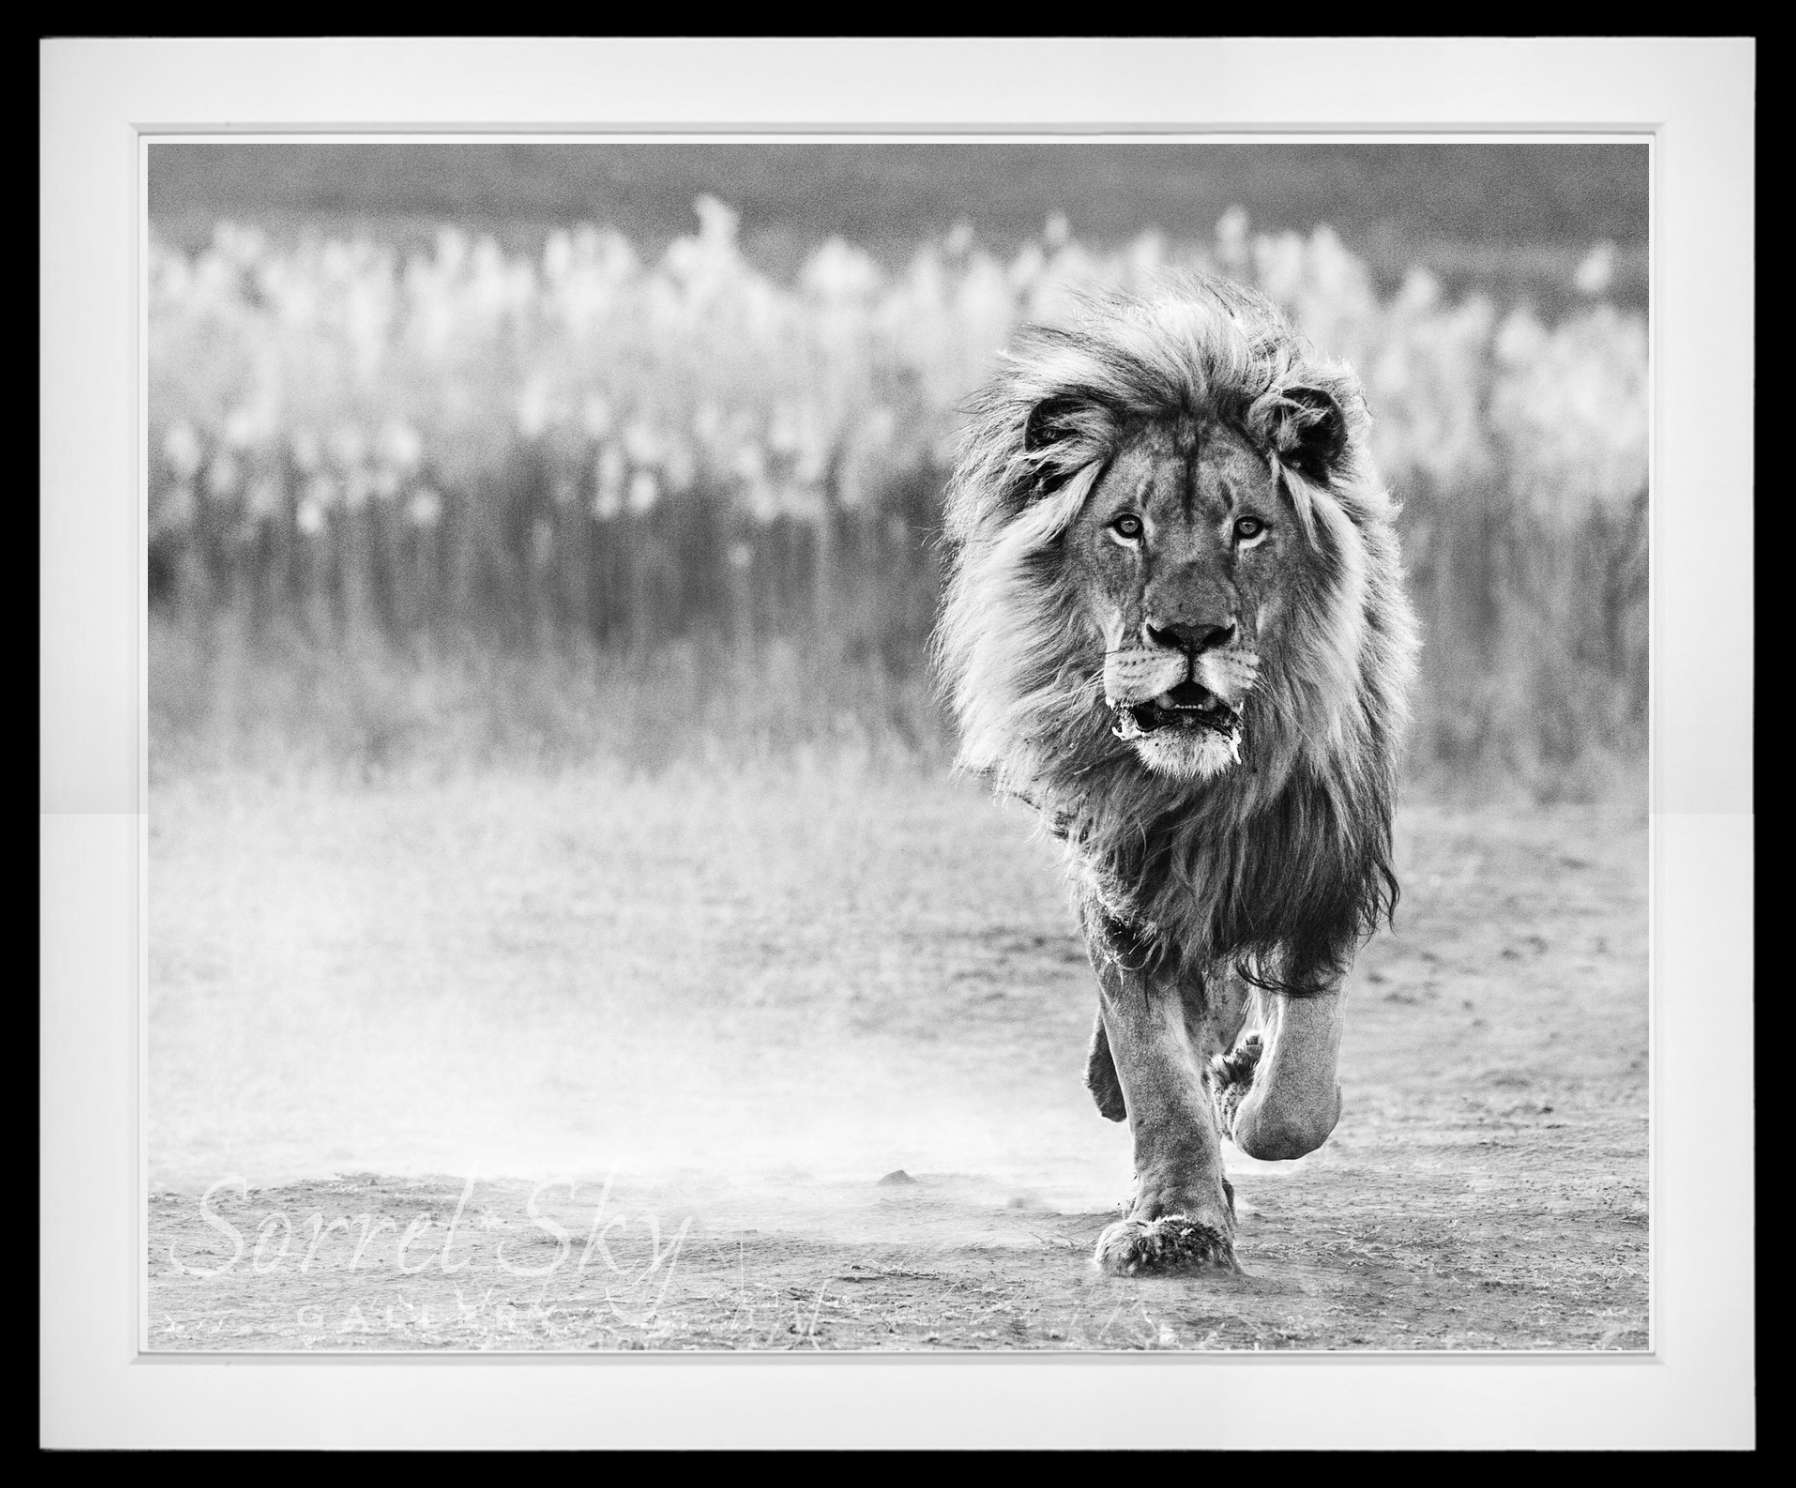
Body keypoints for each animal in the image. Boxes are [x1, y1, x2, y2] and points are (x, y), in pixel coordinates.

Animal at [933, 272, 1422, 1270]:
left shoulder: (1324, 870)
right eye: (1127, 528)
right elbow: (1158, 1069)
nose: (1189, 634)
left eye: (1250, 529)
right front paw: (1175, 1219)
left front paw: (1244, 1093)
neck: (1207, 792)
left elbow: (1298, 1097)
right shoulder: (1128, 882)